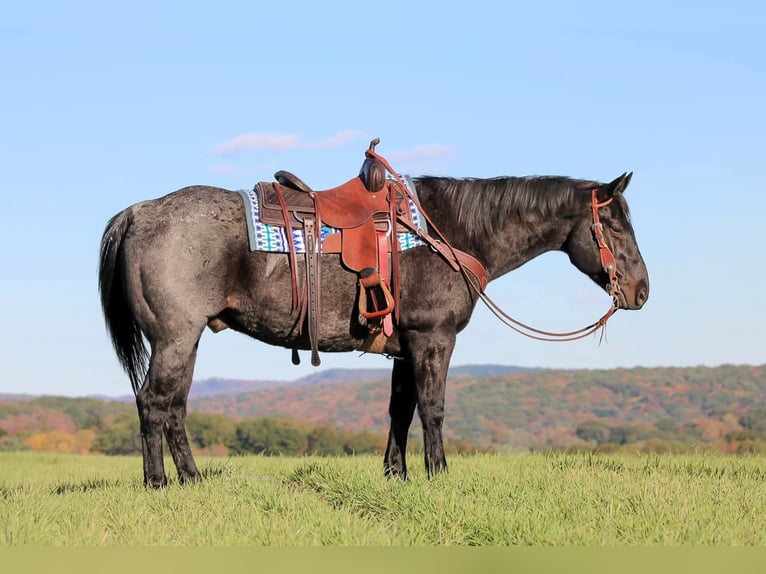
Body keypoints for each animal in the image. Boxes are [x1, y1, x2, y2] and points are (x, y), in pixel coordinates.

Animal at [99, 167, 649, 487]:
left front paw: (396, 474)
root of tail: (140, 212)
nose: (640, 291)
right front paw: (438, 474)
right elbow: (432, 408)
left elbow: (399, 410)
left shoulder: (406, 347)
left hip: (185, 341)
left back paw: (193, 479)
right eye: (615, 225)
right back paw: (157, 483)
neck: (449, 231)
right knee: (153, 403)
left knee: (174, 407)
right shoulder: (433, 338)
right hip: (174, 338)